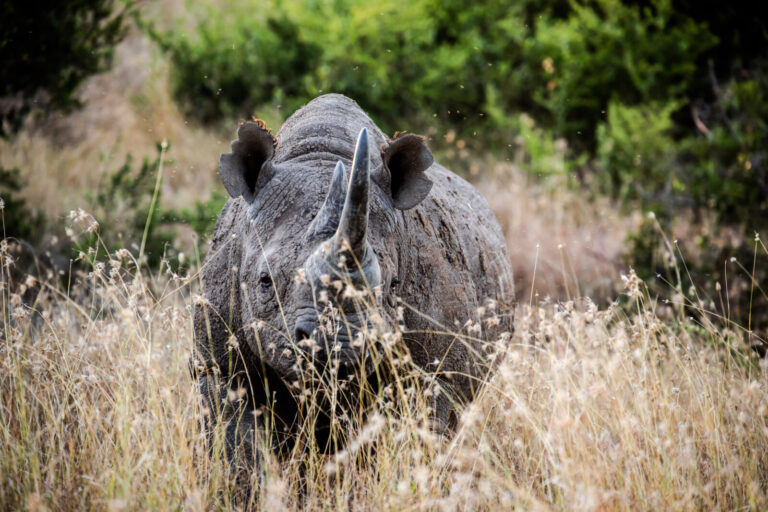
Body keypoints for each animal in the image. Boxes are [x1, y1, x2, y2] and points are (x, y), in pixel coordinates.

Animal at [193, 94, 514, 468]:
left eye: (393, 285)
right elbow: (235, 448)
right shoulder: (217, 364)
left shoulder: (437, 375)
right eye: (264, 281)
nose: (338, 346)